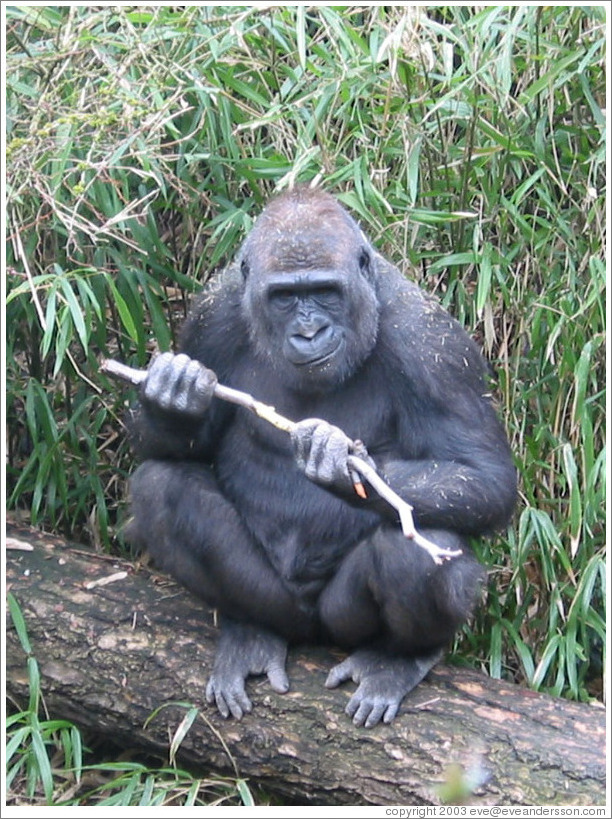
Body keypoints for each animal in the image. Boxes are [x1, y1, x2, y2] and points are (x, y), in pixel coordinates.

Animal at [128, 187, 516, 732]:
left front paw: (343, 464)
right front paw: (173, 396)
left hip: (341, 624)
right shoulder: (211, 313)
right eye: (285, 297)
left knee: (421, 552)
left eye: (326, 291)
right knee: (161, 489)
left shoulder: (431, 342)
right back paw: (252, 631)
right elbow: (185, 446)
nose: (310, 332)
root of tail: (311, 629)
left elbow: (484, 477)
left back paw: (398, 658)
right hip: (280, 604)